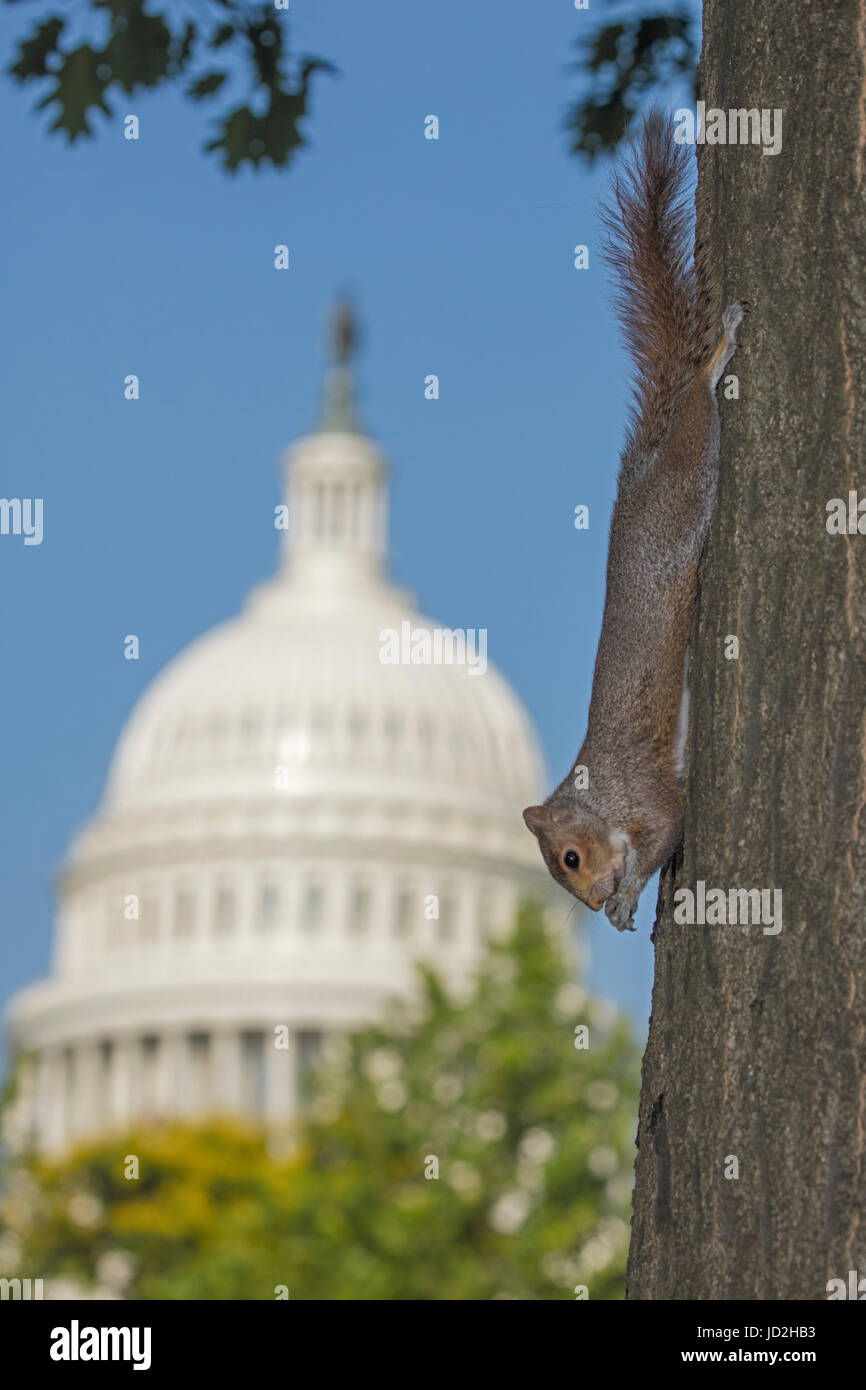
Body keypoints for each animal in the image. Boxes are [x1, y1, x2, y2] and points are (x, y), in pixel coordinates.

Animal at [523, 110, 745, 933]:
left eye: (570, 859)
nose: (589, 904)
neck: (601, 796)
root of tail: (643, 466)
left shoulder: (652, 796)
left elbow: (671, 827)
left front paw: (629, 895)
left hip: (688, 479)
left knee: (701, 407)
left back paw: (716, 355)